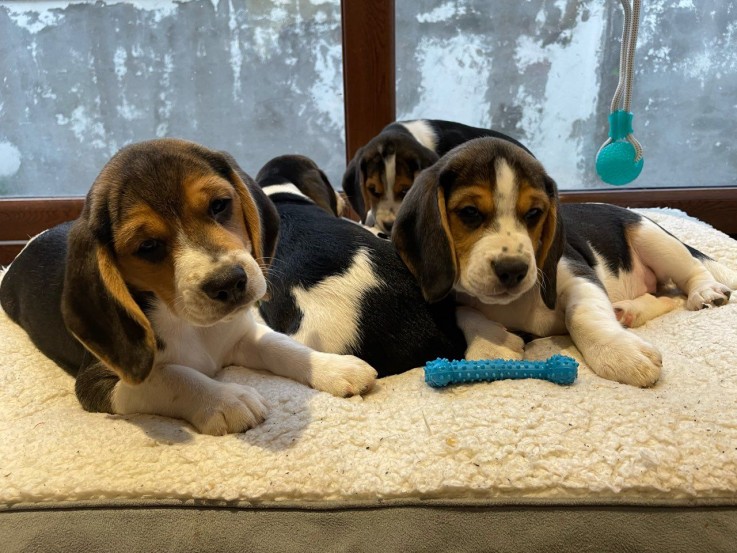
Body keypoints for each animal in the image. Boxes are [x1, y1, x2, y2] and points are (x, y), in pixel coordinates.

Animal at [0, 138, 376, 436]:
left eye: (219, 205)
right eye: (147, 246)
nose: (229, 282)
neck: (190, 324)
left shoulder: (240, 335)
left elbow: (280, 346)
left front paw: (333, 366)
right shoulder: (98, 383)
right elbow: (172, 376)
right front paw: (225, 399)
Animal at [394, 136, 732, 386]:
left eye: (534, 213)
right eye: (469, 213)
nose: (513, 270)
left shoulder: (579, 275)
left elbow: (581, 316)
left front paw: (620, 352)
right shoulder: (448, 296)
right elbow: (466, 311)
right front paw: (491, 344)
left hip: (652, 238)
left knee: (688, 275)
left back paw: (705, 292)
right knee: (663, 297)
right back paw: (627, 312)